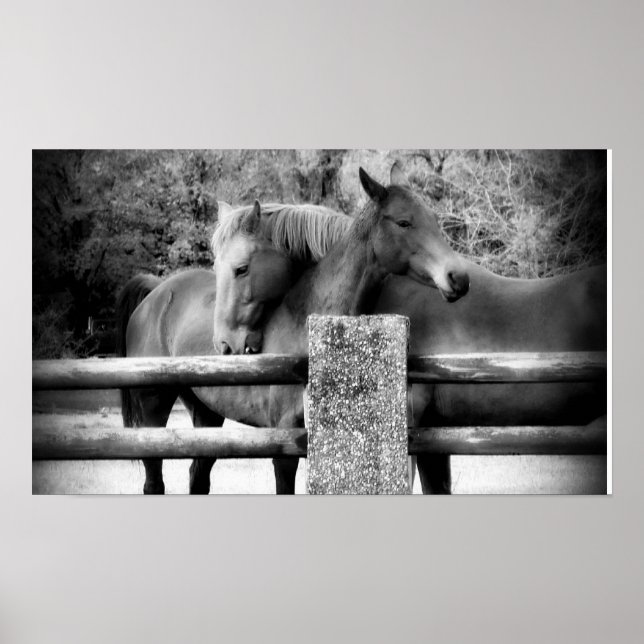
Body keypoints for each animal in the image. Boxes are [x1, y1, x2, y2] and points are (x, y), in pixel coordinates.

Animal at [118, 163, 470, 493]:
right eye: (403, 222)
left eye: (433, 220)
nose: (459, 277)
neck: (308, 330)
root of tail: (156, 292)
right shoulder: (284, 446)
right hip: (154, 408)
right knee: (154, 481)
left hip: (206, 414)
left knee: (198, 476)